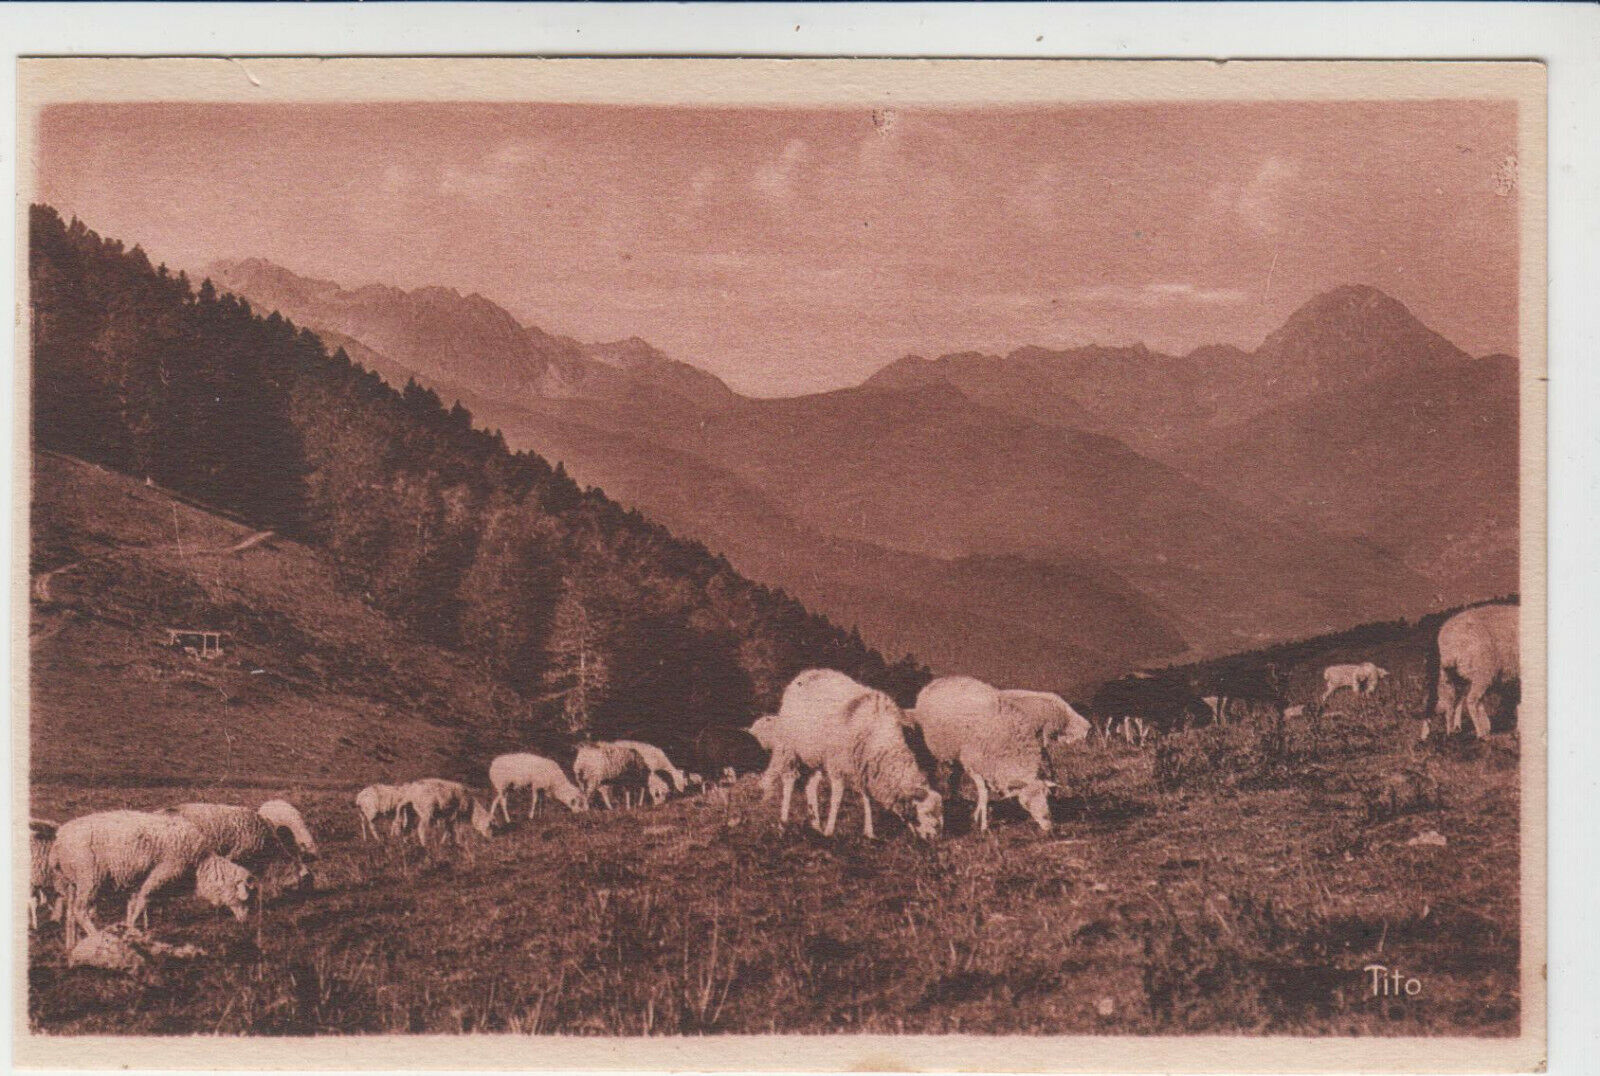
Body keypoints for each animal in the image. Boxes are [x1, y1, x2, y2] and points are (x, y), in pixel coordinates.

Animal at [46, 810, 254, 954]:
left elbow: (133, 905)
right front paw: (130, 931)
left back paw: (71, 945)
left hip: (71, 882)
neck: (200, 866)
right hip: (89, 877)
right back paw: (96, 936)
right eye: (245, 895)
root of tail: (58, 841)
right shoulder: (159, 874)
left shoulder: (140, 879)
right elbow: (142, 903)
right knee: (80, 911)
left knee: (70, 914)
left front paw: (129, 927)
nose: (245, 922)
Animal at [780, 662, 940, 839]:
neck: (879, 734)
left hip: (815, 755)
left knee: (811, 785)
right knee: (789, 781)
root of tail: (808, 673)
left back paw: (816, 826)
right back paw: (783, 824)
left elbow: (867, 798)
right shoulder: (838, 765)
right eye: (926, 812)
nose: (934, 838)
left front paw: (869, 832)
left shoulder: (865, 766)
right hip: (790, 747)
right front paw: (830, 831)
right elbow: (837, 798)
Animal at [915, 675, 1062, 839]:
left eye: (1047, 796)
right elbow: (984, 794)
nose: (1048, 826)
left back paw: (955, 799)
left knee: (954, 779)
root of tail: (942, 679)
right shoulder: (974, 766)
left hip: (958, 755)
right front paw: (983, 825)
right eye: (1026, 803)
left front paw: (977, 815)